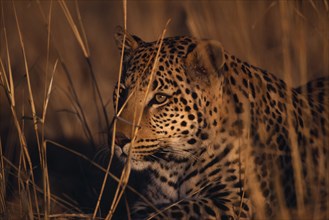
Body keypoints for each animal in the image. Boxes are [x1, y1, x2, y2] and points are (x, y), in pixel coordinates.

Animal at [111, 26, 326, 219]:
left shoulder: (242, 201)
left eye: (160, 98)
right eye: (121, 92)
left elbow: (178, 209)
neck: (174, 165)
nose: (118, 139)